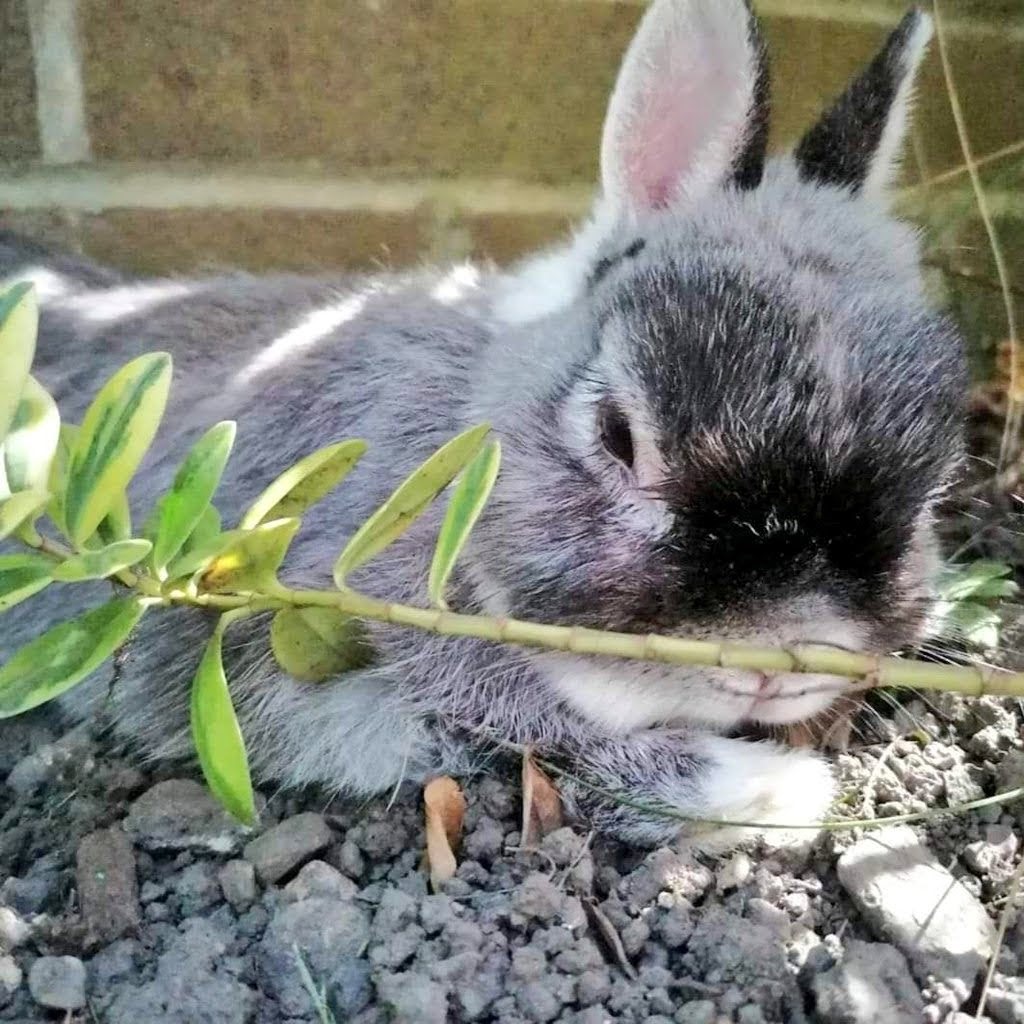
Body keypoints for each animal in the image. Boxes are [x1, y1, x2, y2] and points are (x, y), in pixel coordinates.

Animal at [1, 0, 967, 848]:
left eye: (933, 487)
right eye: (617, 433)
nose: (783, 656)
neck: (475, 409)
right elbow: (516, 708)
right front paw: (773, 791)